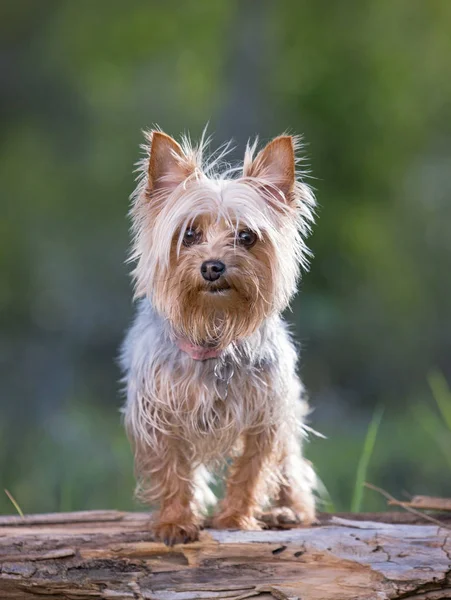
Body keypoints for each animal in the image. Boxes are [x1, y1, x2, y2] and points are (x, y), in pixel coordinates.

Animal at [122, 129, 316, 548]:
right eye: (189, 235)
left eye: (246, 236)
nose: (213, 266)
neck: (213, 329)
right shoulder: (158, 413)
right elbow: (171, 468)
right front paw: (175, 521)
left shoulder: (266, 414)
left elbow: (252, 469)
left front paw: (236, 518)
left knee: (293, 468)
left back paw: (289, 511)